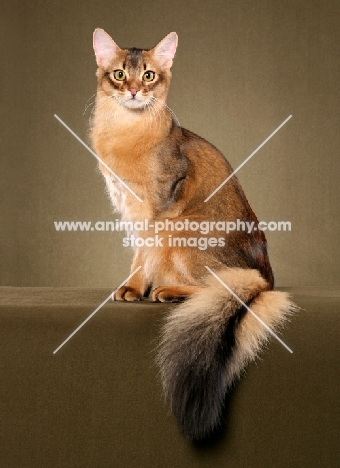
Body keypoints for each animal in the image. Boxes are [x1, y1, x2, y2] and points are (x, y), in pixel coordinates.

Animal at [89, 30, 294, 442]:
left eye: (148, 76)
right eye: (119, 74)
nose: (133, 91)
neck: (123, 131)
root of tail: (267, 277)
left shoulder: (157, 208)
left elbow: (144, 254)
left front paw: (136, 288)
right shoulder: (126, 206)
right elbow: (136, 254)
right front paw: (130, 286)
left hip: (181, 230)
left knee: (218, 284)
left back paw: (167, 291)